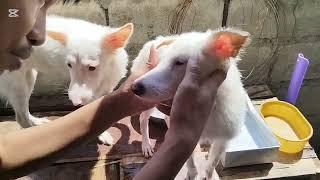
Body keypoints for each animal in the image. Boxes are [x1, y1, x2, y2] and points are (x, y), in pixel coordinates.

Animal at [0, 15, 132, 145]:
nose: (75, 102)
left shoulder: (107, 89)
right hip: (18, 83)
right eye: (69, 65)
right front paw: (102, 134)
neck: (105, 75)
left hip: (30, 76)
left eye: (92, 67)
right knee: (21, 117)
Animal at [131, 28, 250, 179]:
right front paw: (192, 174)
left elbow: (211, 165)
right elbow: (190, 162)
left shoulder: (223, 139)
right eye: (160, 61)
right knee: (143, 118)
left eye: (179, 62)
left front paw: (208, 175)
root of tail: (153, 40)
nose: (134, 88)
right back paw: (146, 145)